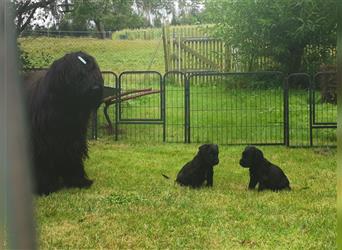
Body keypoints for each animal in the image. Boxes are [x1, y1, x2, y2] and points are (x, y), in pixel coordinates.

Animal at [23, 51, 103, 195]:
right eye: (79, 74)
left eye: (93, 70)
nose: (96, 88)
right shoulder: (43, 142)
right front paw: (45, 187)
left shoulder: (73, 138)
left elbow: (73, 156)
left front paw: (78, 181)